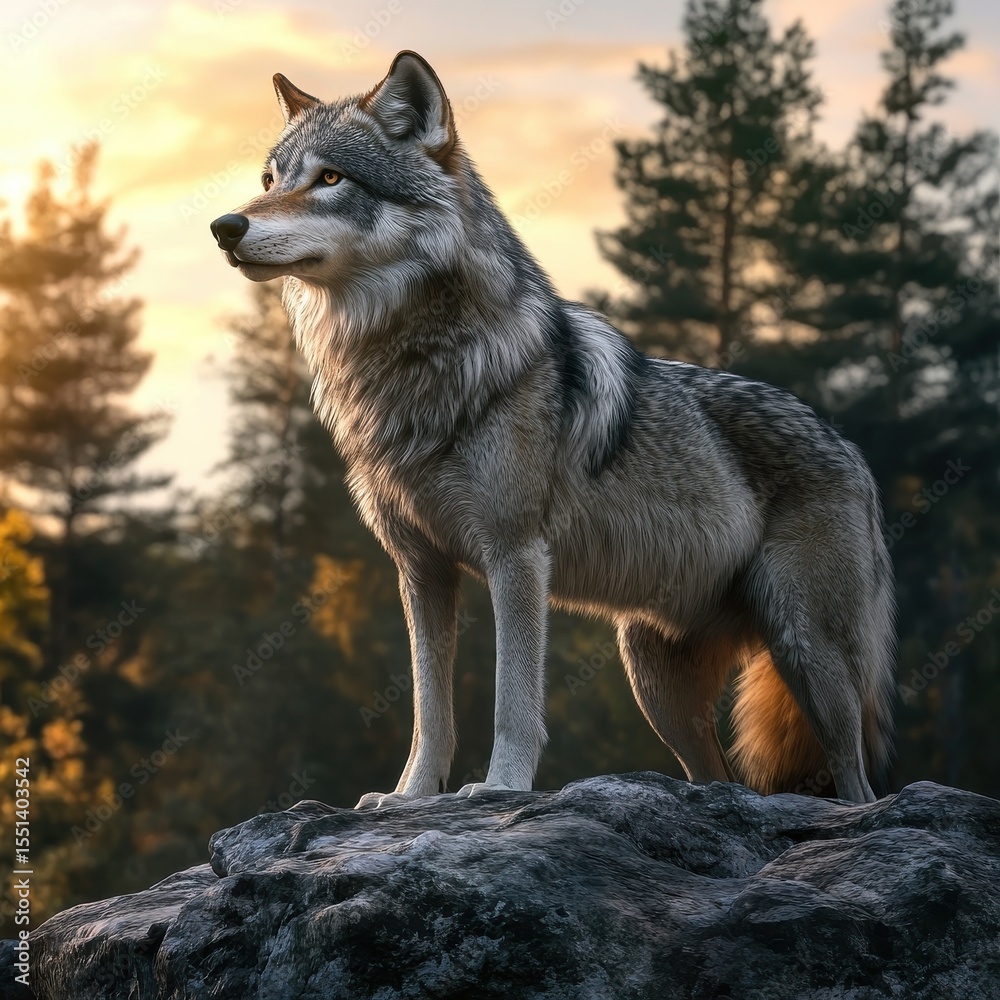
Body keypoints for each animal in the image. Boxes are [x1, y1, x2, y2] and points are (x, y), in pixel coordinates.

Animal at [210, 51, 896, 804]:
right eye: (271, 181)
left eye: (330, 179)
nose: (225, 226)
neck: (411, 365)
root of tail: (852, 450)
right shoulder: (420, 570)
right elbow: (429, 710)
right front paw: (409, 798)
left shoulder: (516, 556)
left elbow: (513, 702)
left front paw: (500, 790)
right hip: (653, 678)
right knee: (718, 778)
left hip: (808, 657)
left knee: (858, 783)